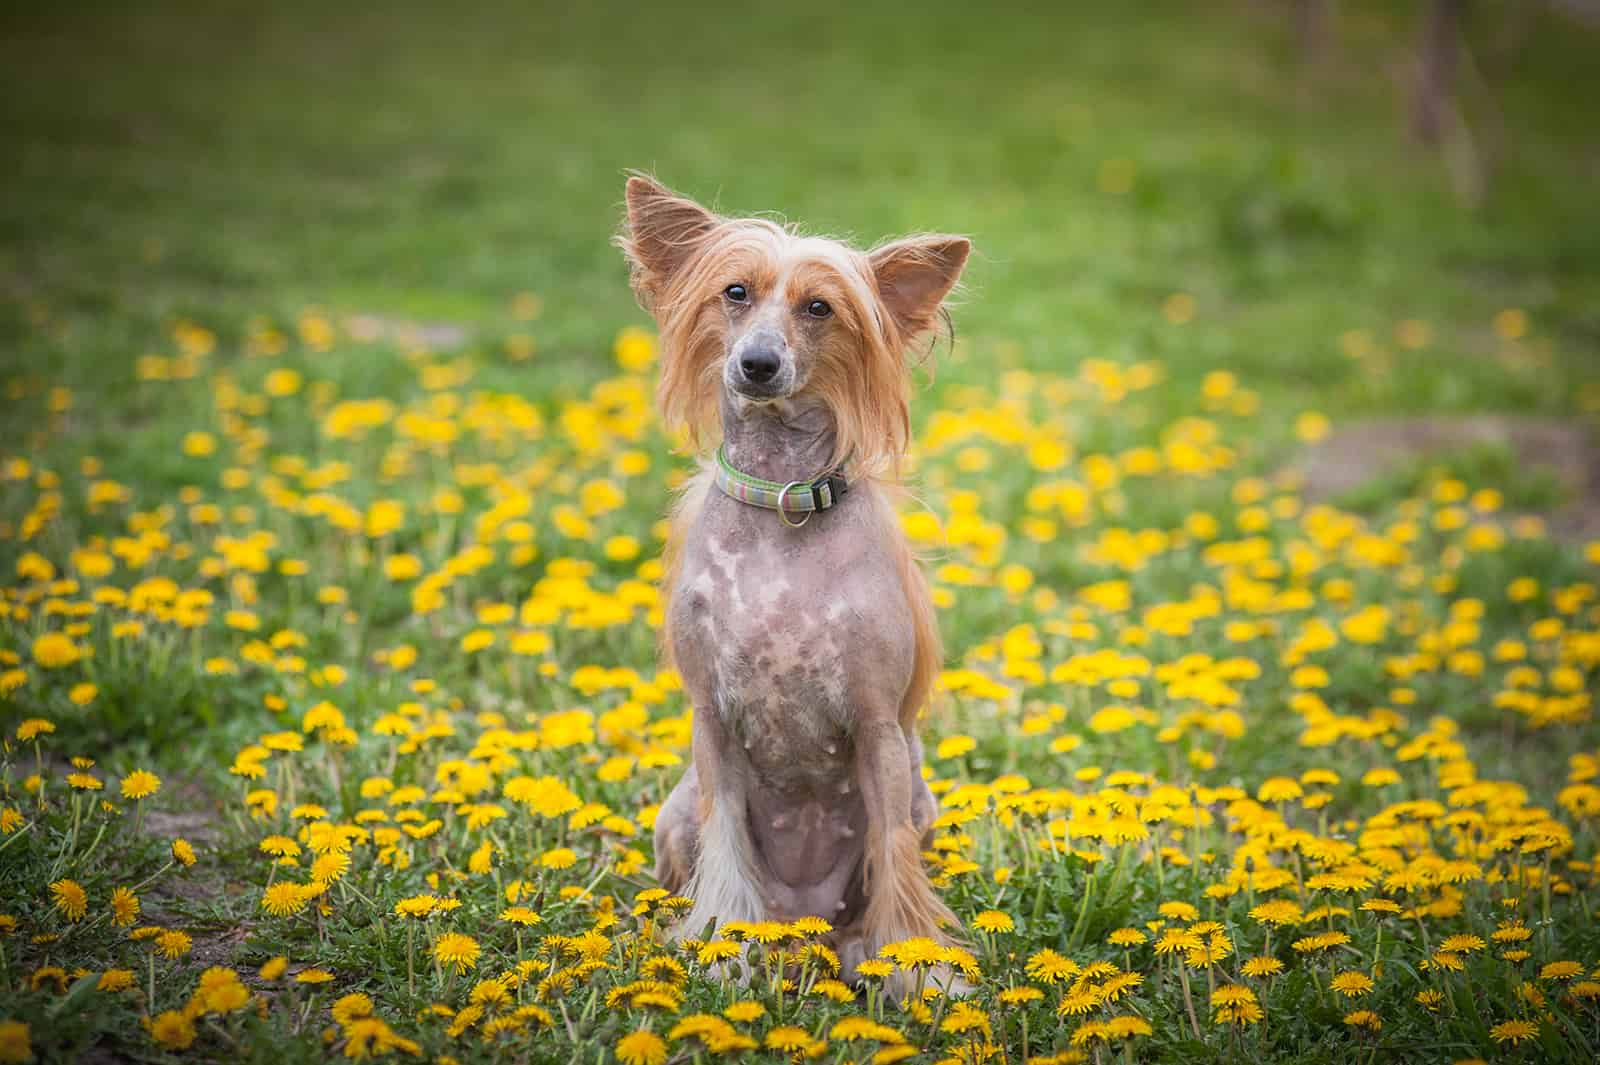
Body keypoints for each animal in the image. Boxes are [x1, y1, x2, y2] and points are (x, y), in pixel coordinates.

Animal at [620, 170, 972, 991]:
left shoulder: (878, 730)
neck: (781, 502)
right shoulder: (712, 726)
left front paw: (916, 970)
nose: (757, 363)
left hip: (920, 799)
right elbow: (726, 850)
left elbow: (895, 864)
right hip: (674, 812)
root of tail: (802, 916)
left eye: (820, 308)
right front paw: (723, 946)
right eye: (735, 293)